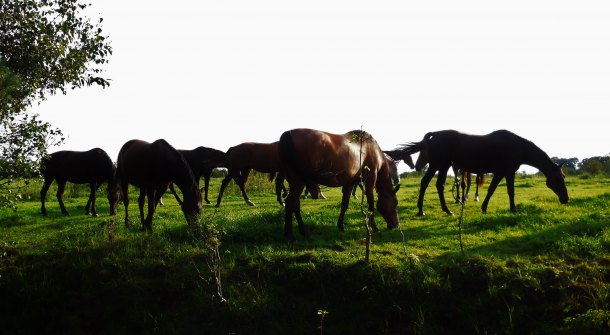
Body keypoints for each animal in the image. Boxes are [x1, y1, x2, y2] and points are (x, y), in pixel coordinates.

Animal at [396, 130, 568, 217]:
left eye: (564, 177)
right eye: (558, 178)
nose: (566, 199)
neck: (517, 146)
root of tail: (435, 135)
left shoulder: (500, 172)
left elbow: (491, 190)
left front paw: (484, 207)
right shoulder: (508, 171)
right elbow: (510, 191)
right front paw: (514, 210)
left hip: (442, 166)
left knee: (436, 184)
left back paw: (438, 210)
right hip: (439, 165)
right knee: (428, 183)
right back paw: (426, 210)